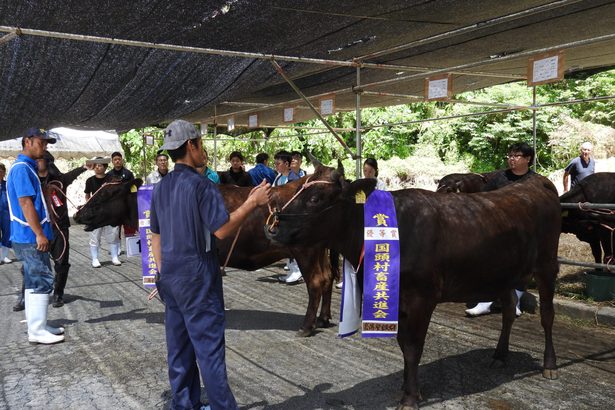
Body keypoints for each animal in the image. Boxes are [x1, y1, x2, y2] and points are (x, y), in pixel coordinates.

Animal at [74, 177, 340, 336]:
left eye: (104, 195)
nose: (78, 213)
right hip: (319, 250)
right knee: (327, 278)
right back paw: (324, 319)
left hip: (305, 251)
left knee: (316, 282)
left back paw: (307, 326)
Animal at [266, 164, 564, 410]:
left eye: (315, 198)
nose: (273, 229)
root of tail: (536, 181)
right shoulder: (397, 299)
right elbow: (402, 343)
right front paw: (410, 387)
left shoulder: (422, 298)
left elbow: (412, 347)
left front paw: (410, 397)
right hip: (503, 273)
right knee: (509, 311)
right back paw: (500, 355)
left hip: (547, 264)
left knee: (548, 316)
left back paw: (550, 365)